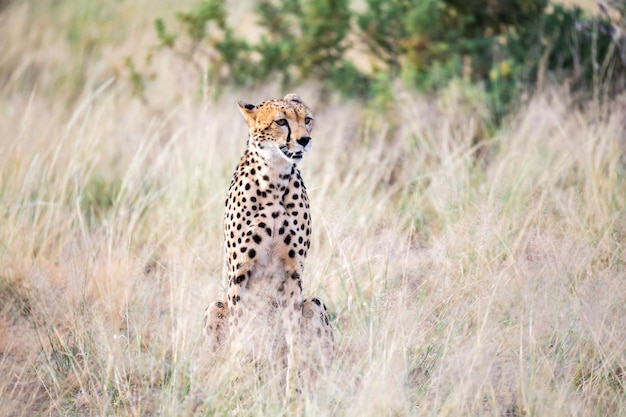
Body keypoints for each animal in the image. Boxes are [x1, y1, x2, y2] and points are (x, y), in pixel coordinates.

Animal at [204, 93, 332, 394]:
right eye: (281, 122)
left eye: (307, 119)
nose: (305, 140)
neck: (274, 178)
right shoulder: (240, 274)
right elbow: (241, 333)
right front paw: (239, 386)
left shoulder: (293, 273)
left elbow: (293, 337)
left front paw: (292, 390)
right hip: (215, 307)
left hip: (315, 304)